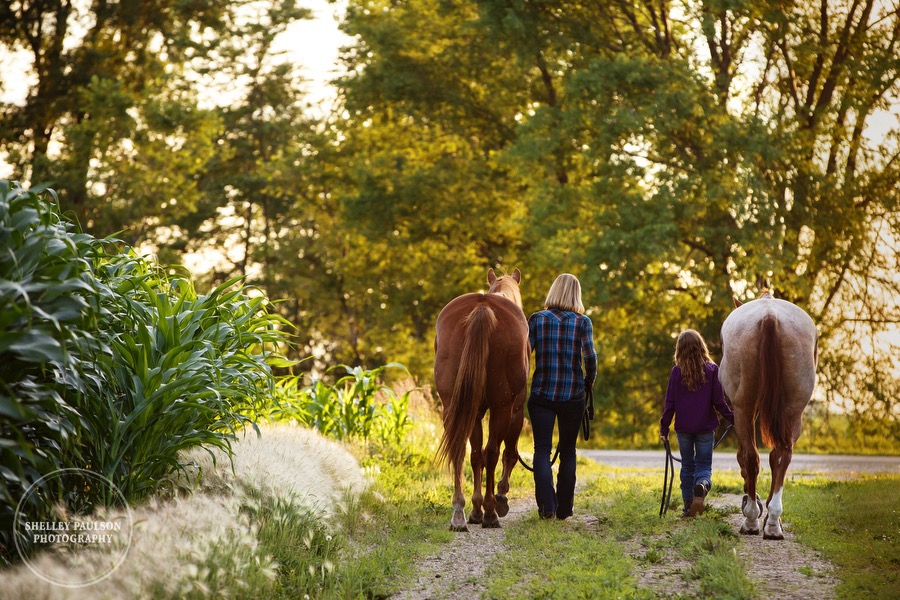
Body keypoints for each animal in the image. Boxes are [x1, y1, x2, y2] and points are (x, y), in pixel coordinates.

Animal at [434, 270, 532, 532]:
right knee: (493, 452)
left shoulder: (474, 411)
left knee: (461, 450)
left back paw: (460, 512)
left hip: (453, 406)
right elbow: (508, 454)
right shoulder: (516, 411)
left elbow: (475, 455)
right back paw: (490, 513)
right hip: (502, 408)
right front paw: (499, 498)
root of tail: (482, 307)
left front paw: (475, 509)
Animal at [720, 292, 820, 540]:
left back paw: (751, 518)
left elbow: (743, 457)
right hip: (792, 410)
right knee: (780, 455)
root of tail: (770, 317)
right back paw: (773, 522)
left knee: (751, 457)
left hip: (744, 407)